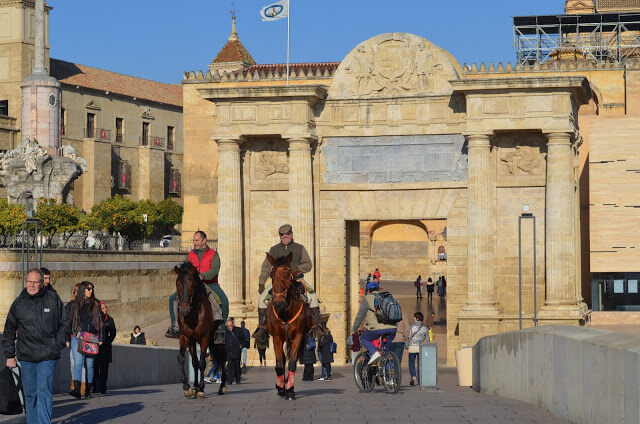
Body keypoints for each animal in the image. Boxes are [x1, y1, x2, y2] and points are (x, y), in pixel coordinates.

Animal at [172, 264, 228, 400]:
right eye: (177, 284)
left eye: (192, 284)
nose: (183, 310)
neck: (193, 315)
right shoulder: (187, 337)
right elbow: (188, 360)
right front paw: (189, 387)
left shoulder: (204, 338)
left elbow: (202, 362)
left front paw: (201, 389)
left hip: (217, 340)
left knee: (222, 358)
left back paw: (222, 386)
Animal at [264, 252, 310, 400]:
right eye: (272, 274)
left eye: (288, 274)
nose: (279, 303)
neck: (285, 313)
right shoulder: (277, 338)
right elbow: (279, 364)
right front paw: (281, 389)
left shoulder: (298, 337)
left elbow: (292, 363)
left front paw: (290, 390)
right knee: (282, 360)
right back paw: (281, 386)